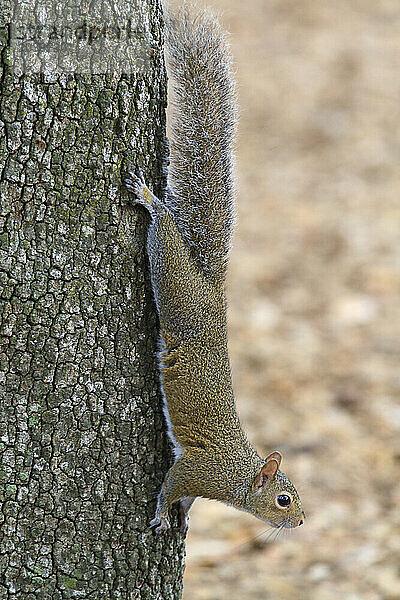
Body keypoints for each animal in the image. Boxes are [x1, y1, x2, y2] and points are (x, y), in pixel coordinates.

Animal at [123, 3, 304, 528]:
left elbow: (183, 496)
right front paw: (162, 515)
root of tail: (211, 286)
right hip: (173, 282)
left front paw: (181, 514)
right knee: (163, 232)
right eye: (284, 499)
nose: (302, 522)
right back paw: (151, 201)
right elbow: (172, 483)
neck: (238, 479)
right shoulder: (199, 469)